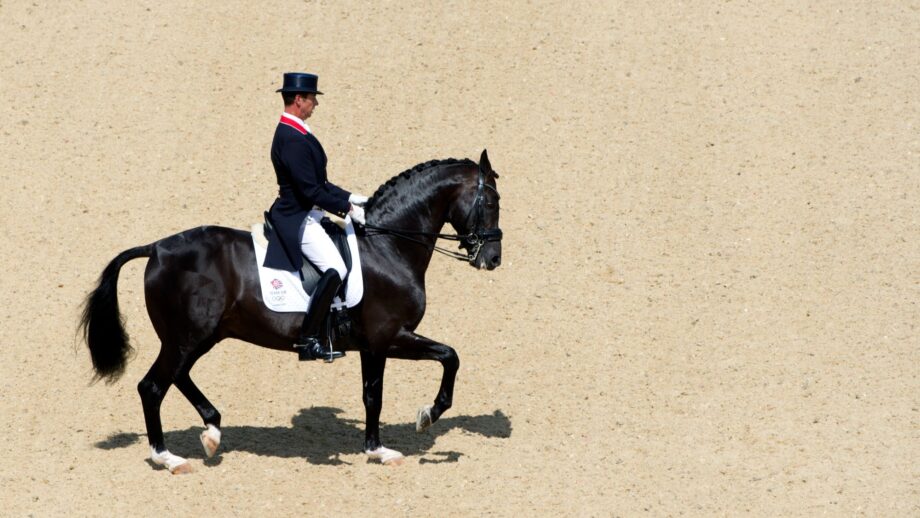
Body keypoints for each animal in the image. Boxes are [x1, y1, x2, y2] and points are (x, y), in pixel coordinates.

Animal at [79, 150, 502, 473]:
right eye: (491, 202)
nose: (493, 259)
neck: (388, 246)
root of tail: (158, 248)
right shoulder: (389, 336)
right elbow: (447, 358)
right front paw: (425, 417)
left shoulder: (372, 344)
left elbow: (372, 395)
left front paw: (376, 448)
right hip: (187, 337)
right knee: (152, 386)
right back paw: (169, 458)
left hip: (201, 336)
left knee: (177, 376)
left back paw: (212, 431)